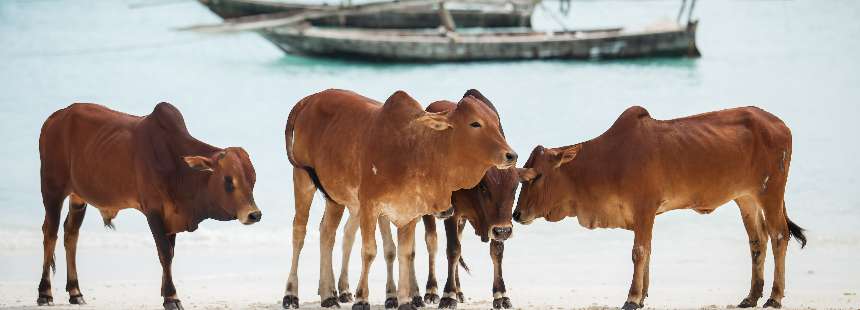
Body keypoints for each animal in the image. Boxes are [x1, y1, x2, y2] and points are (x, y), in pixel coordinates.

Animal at [37, 102, 258, 310]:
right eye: (228, 180)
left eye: (253, 179)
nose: (254, 214)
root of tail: (54, 118)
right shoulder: (154, 211)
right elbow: (165, 252)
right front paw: (171, 297)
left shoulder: (172, 217)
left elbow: (170, 253)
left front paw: (164, 292)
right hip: (52, 190)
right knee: (50, 234)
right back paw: (45, 293)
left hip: (78, 197)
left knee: (71, 234)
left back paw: (75, 292)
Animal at [282, 88, 512, 308]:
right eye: (475, 123)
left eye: (496, 122)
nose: (511, 155)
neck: (414, 150)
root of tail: (310, 98)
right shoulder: (370, 207)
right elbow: (369, 251)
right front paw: (362, 299)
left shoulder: (409, 212)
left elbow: (406, 253)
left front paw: (405, 301)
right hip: (303, 180)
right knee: (299, 232)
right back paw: (291, 294)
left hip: (335, 198)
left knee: (327, 233)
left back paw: (329, 295)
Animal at [516, 105, 808, 308]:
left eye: (537, 176)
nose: (516, 214)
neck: (606, 161)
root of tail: (780, 124)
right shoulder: (645, 215)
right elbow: (648, 251)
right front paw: (643, 296)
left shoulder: (644, 208)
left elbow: (639, 252)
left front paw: (632, 298)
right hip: (746, 198)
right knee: (758, 241)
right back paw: (751, 297)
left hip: (770, 192)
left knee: (779, 236)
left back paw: (774, 297)